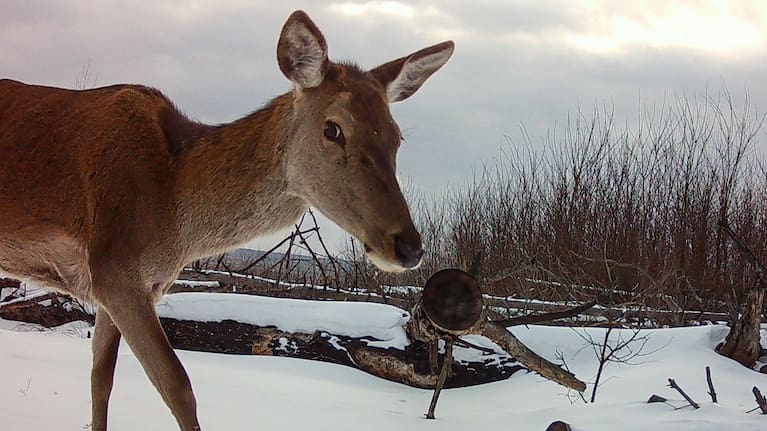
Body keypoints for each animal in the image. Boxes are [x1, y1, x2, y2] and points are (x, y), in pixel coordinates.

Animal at [0, 9, 453, 431]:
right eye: (333, 129)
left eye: (397, 137)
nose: (409, 246)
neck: (172, 212)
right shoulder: (115, 272)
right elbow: (177, 387)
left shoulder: (117, 285)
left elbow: (100, 381)